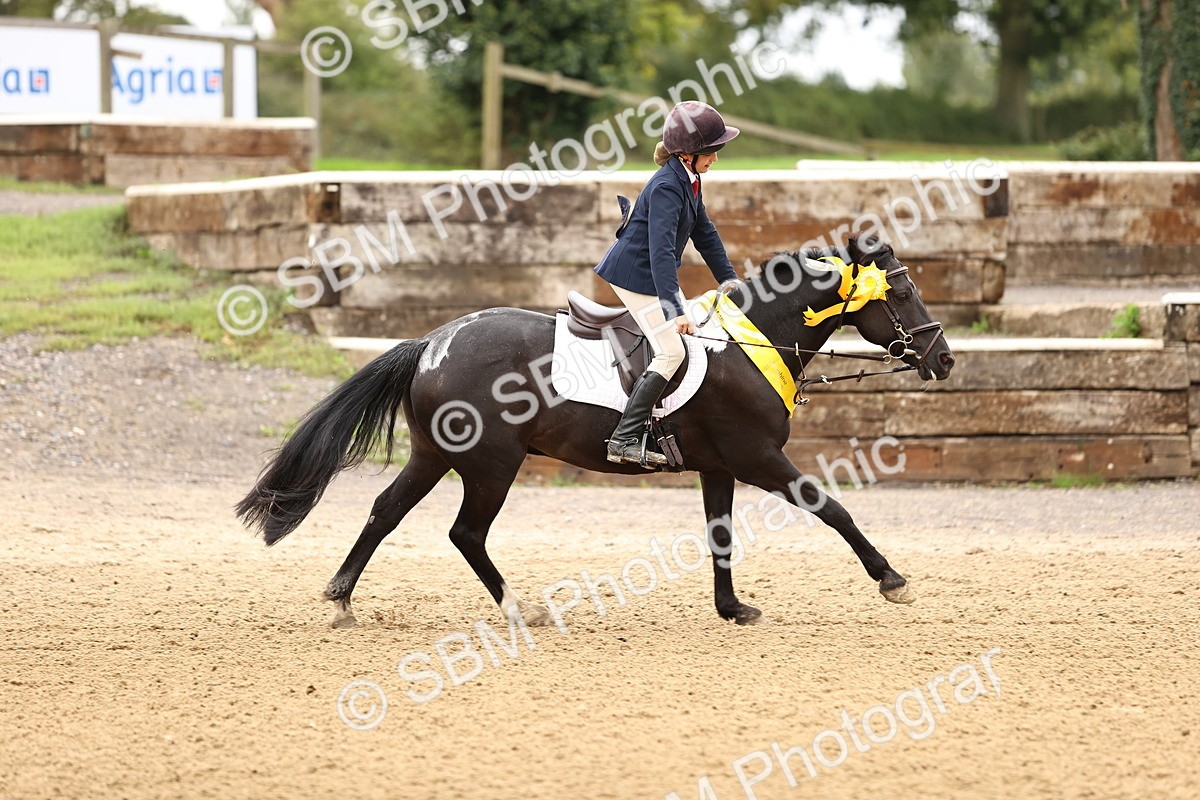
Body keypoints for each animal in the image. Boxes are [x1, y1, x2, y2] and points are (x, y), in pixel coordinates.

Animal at [236, 236, 955, 628]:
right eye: (901, 294)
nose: (944, 359)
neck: (750, 342)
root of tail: (432, 343)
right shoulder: (756, 457)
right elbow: (831, 508)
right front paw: (891, 579)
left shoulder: (720, 465)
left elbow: (719, 535)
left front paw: (732, 608)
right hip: (491, 465)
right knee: (465, 533)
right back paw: (520, 610)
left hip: (435, 455)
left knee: (386, 512)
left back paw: (341, 598)